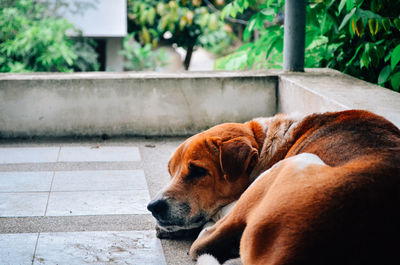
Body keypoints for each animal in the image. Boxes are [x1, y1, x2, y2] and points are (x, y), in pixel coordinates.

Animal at [148, 108, 400, 262]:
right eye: (171, 171)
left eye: (198, 171)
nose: (153, 207)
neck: (263, 142)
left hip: (297, 162)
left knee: (205, 241)